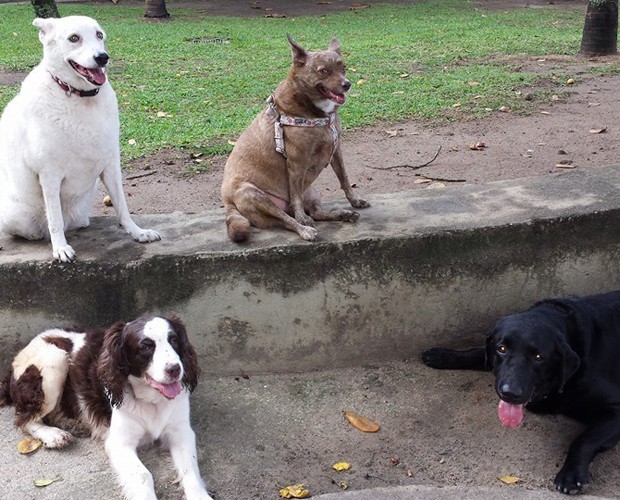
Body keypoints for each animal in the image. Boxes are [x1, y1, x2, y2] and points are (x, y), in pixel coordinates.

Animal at [0, 15, 160, 262]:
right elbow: (54, 218)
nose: (102, 57)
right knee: (45, 226)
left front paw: (137, 232)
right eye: (74, 38)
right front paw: (60, 247)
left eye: (99, 35)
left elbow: (122, 206)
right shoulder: (49, 174)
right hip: (14, 215)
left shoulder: (111, 165)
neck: (78, 96)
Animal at [222, 35, 370, 242]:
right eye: (323, 71)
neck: (315, 112)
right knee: (286, 219)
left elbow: (345, 179)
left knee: (315, 212)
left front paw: (354, 200)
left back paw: (343, 214)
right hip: (253, 194)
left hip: (312, 191)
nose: (347, 84)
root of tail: (228, 202)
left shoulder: (336, 150)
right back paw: (304, 229)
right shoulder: (296, 162)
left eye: (343, 68)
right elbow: (296, 196)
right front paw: (302, 219)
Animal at [422, 292, 620, 494]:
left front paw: (571, 475)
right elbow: (478, 352)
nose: (510, 393)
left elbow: (584, 440)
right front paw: (443, 355)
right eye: (501, 349)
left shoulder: (616, 409)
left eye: (538, 357)